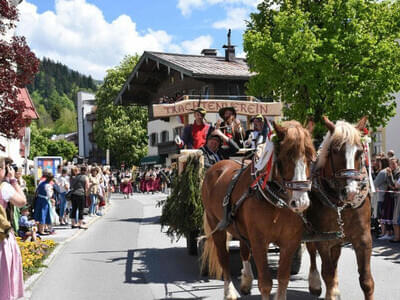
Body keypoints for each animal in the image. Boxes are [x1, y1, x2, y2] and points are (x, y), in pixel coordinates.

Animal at [203, 120, 316, 298]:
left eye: (310, 158)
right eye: (286, 156)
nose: (301, 202)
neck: (277, 204)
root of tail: (217, 166)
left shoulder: (290, 242)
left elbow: (283, 279)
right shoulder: (259, 242)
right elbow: (265, 283)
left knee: (243, 250)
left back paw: (246, 281)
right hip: (216, 226)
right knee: (224, 258)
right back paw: (229, 291)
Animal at [306, 116, 376, 298]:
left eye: (360, 152)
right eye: (335, 151)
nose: (350, 192)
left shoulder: (363, 238)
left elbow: (366, 281)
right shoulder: (323, 239)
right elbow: (327, 273)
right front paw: (329, 291)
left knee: (335, 257)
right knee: (311, 252)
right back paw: (315, 283)